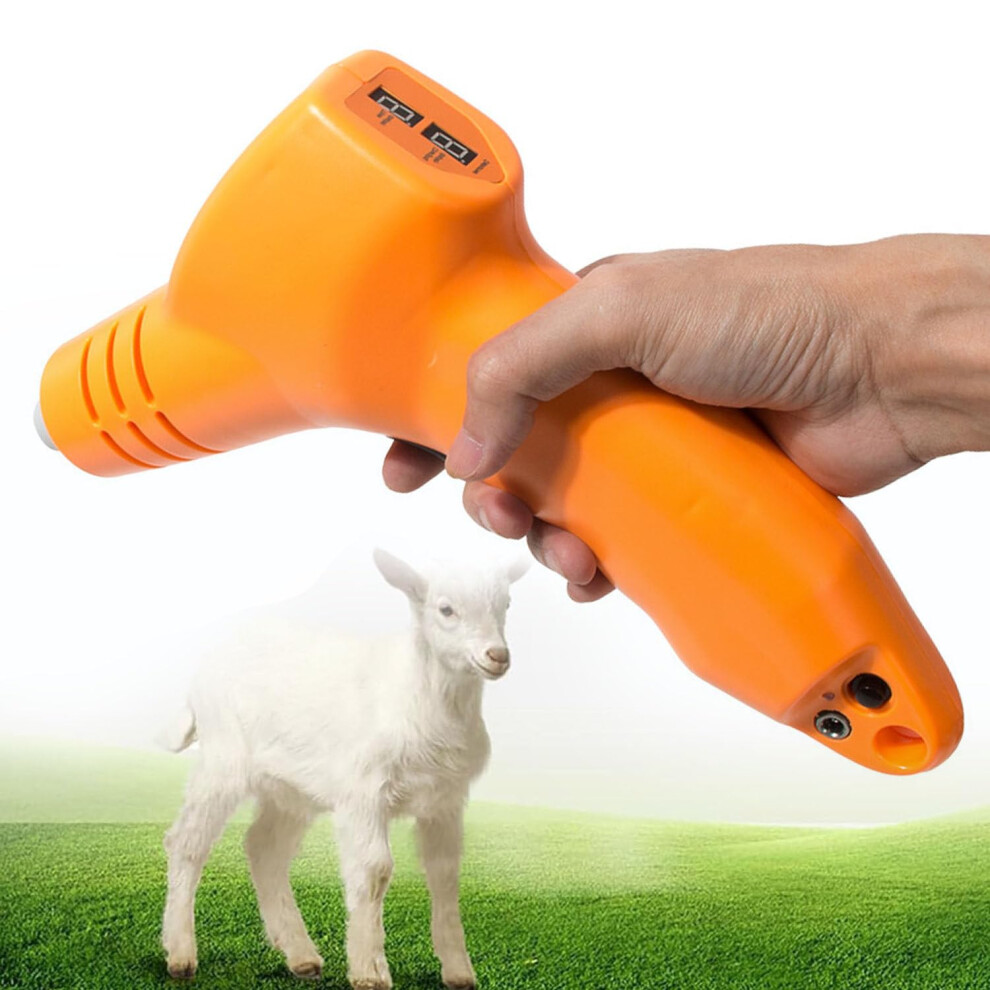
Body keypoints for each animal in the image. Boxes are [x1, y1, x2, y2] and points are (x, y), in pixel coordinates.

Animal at [160, 549, 527, 989]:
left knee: (264, 847)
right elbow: (375, 869)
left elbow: (445, 875)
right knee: (186, 842)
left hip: (290, 786)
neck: (417, 695)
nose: (497, 656)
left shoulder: (446, 799)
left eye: (506, 604)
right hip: (223, 757)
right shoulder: (364, 791)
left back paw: (301, 956)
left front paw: (458, 972)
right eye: (446, 609)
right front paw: (370, 971)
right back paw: (181, 954)